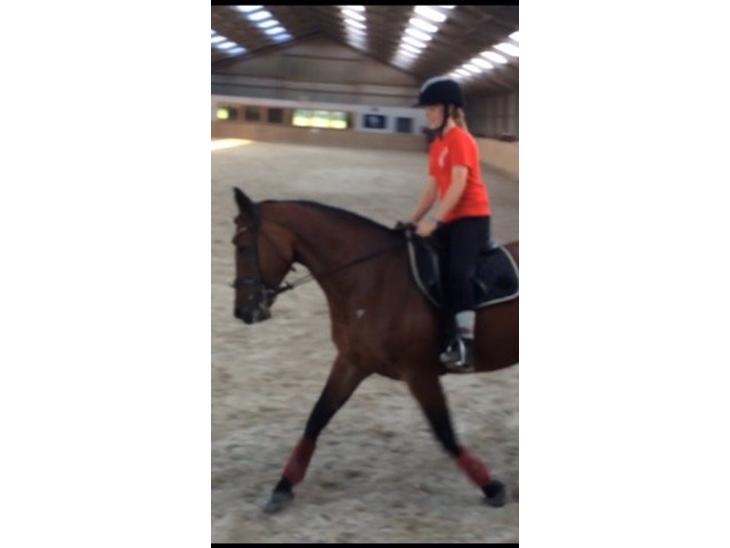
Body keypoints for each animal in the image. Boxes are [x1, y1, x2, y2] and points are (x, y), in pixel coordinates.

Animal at [230, 187, 518, 513]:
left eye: (242, 246)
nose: (243, 311)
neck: (372, 276)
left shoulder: (419, 372)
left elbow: (444, 431)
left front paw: (492, 487)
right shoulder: (352, 362)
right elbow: (316, 418)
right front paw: (282, 488)